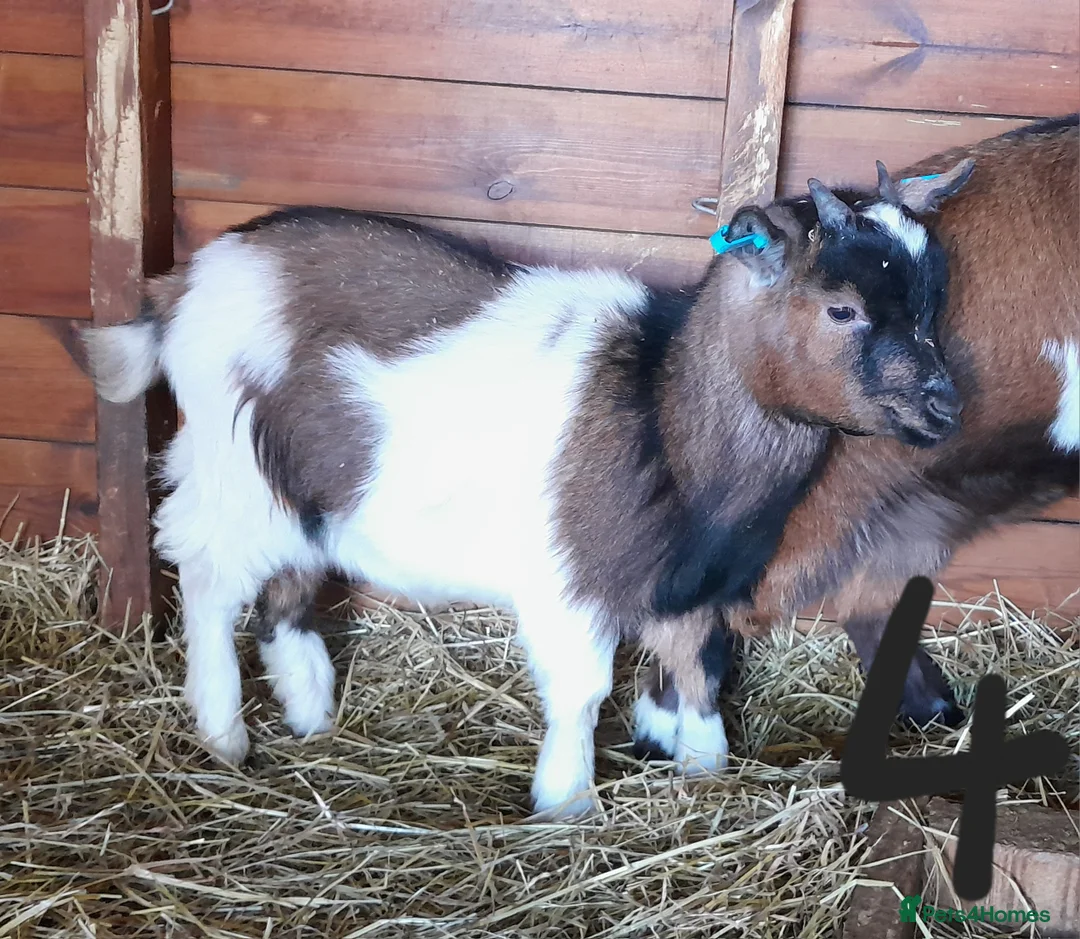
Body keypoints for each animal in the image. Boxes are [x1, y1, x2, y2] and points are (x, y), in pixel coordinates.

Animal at [82, 165, 972, 817]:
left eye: (934, 303)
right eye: (842, 308)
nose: (944, 405)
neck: (664, 406)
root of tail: (182, 288)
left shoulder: (689, 584)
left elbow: (700, 669)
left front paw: (704, 768)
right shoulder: (572, 578)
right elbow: (582, 689)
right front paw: (567, 800)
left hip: (310, 490)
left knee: (287, 588)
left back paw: (310, 712)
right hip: (232, 465)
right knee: (206, 574)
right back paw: (224, 732)